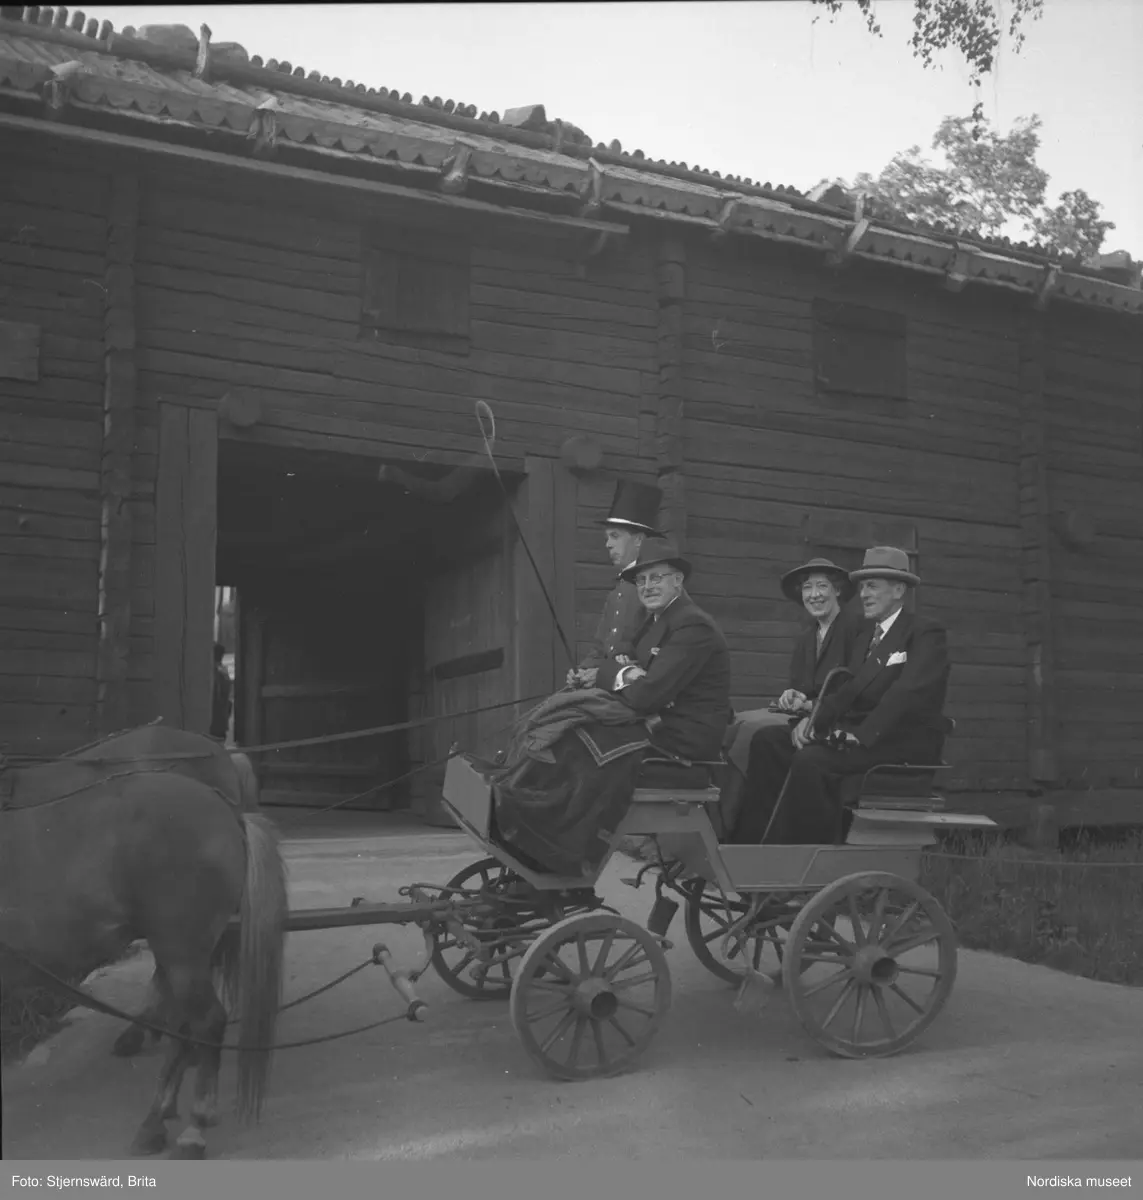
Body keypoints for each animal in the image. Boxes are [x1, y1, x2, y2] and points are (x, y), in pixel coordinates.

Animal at [1, 763, 285, 1156]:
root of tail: (228, 811)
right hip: (177, 956)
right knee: (181, 1027)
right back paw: (156, 1119)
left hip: (181, 951)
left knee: (207, 1022)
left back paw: (194, 1126)